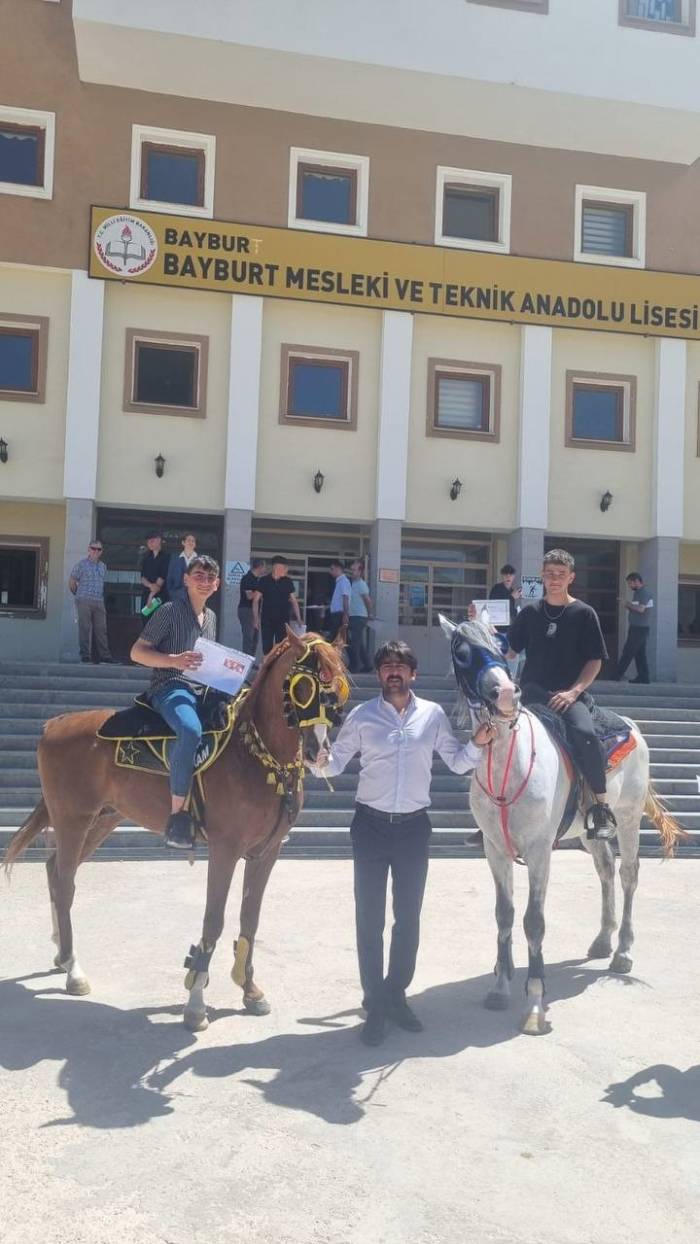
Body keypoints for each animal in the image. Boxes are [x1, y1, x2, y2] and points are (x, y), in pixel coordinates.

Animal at [2, 631, 348, 1030]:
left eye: (336, 688)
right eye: (303, 686)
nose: (319, 751)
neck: (255, 755)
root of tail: (55, 723)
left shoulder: (267, 852)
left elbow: (250, 920)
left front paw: (250, 990)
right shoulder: (225, 850)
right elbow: (213, 920)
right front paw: (196, 1000)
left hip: (101, 819)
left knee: (55, 870)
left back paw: (61, 953)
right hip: (73, 818)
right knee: (64, 884)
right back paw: (73, 968)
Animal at [440, 617, 681, 1035]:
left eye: (499, 646)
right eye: (462, 652)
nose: (506, 693)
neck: (509, 763)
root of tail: (631, 726)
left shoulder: (539, 851)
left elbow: (533, 922)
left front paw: (535, 1004)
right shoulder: (494, 849)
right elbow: (504, 915)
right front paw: (500, 985)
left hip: (629, 818)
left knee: (629, 875)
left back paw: (623, 951)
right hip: (589, 832)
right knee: (606, 870)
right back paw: (602, 940)